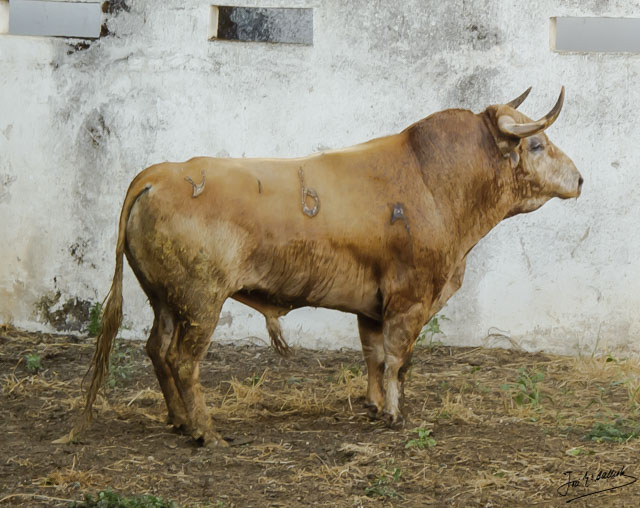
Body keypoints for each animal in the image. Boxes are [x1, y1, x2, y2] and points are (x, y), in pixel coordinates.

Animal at [70, 86, 580, 444]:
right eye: (537, 145)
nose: (578, 178)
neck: (432, 182)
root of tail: (158, 174)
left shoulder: (372, 305)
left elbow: (374, 356)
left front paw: (373, 406)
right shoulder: (410, 299)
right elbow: (398, 360)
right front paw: (394, 414)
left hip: (165, 299)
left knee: (157, 350)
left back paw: (178, 421)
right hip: (201, 301)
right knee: (183, 360)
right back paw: (205, 432)